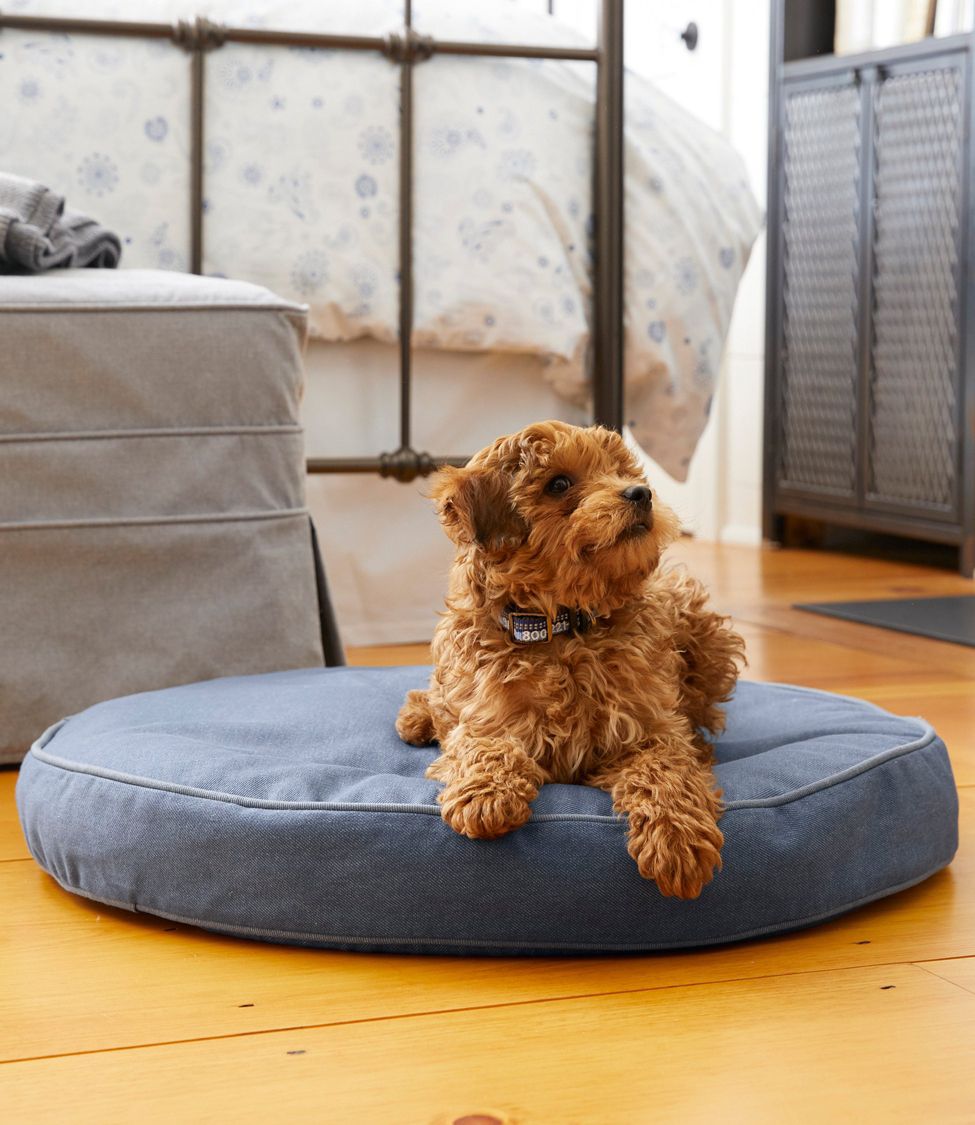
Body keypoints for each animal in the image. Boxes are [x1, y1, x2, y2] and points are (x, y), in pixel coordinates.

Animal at [393, 418, 742, 900]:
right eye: (558, 484)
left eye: (621, 471)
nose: (641, 493)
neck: (561, 623)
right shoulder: (486, 715)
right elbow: (483, 745)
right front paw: (486, 795)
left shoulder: (651, 728)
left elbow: (667, 770)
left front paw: (677, 840)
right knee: (435, 696)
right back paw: (417, 717)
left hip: (704, 631)